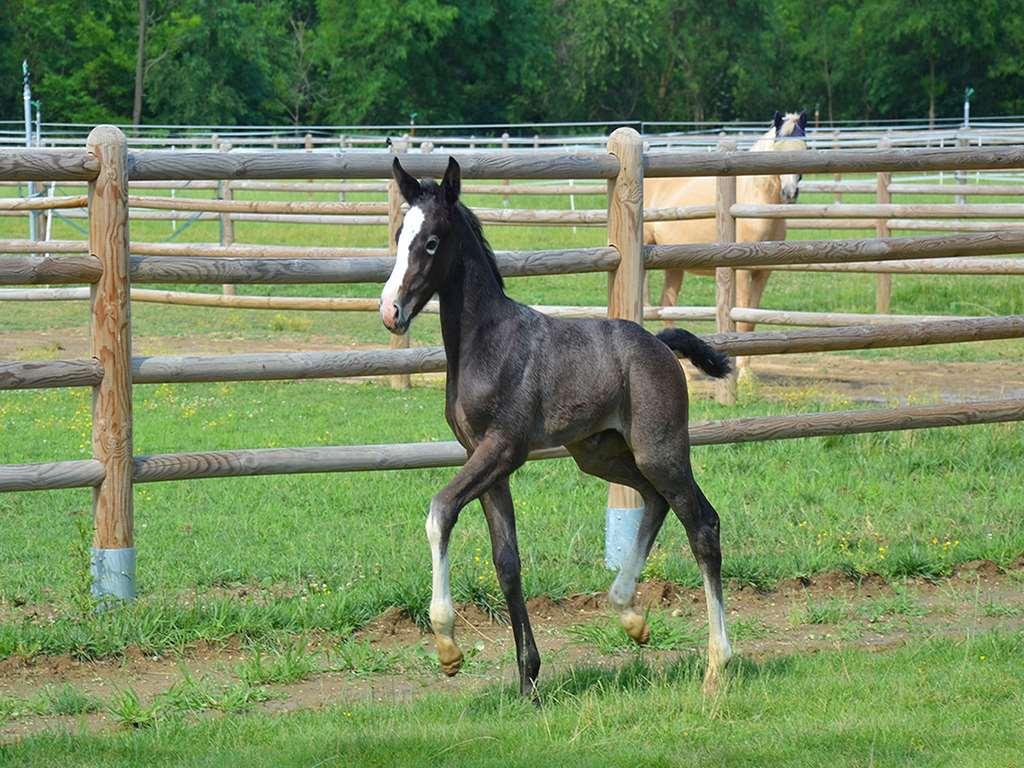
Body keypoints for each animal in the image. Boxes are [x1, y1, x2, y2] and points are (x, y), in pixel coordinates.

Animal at [380, 159, 733, 700]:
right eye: (400, 235)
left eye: (433, 242)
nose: (390, 311)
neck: (487, 343)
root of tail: (659, 342)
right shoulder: (485, 460)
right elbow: (507, 560)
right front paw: (528, 676)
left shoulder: (503, 449)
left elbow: (440, 511)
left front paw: (448, 647)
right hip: (599, 453)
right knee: (655, 501)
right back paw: (630, 615)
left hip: (661, 449)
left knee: (702, 524)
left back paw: (717, 664)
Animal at [647, 110, 806, 346]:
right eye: (778, 148)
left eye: (804, 146)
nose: (790, 192)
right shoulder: (741, 271)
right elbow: (742, 320)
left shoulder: (763, 272)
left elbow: (750, 321)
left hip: (674, 265)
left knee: (668, 305)